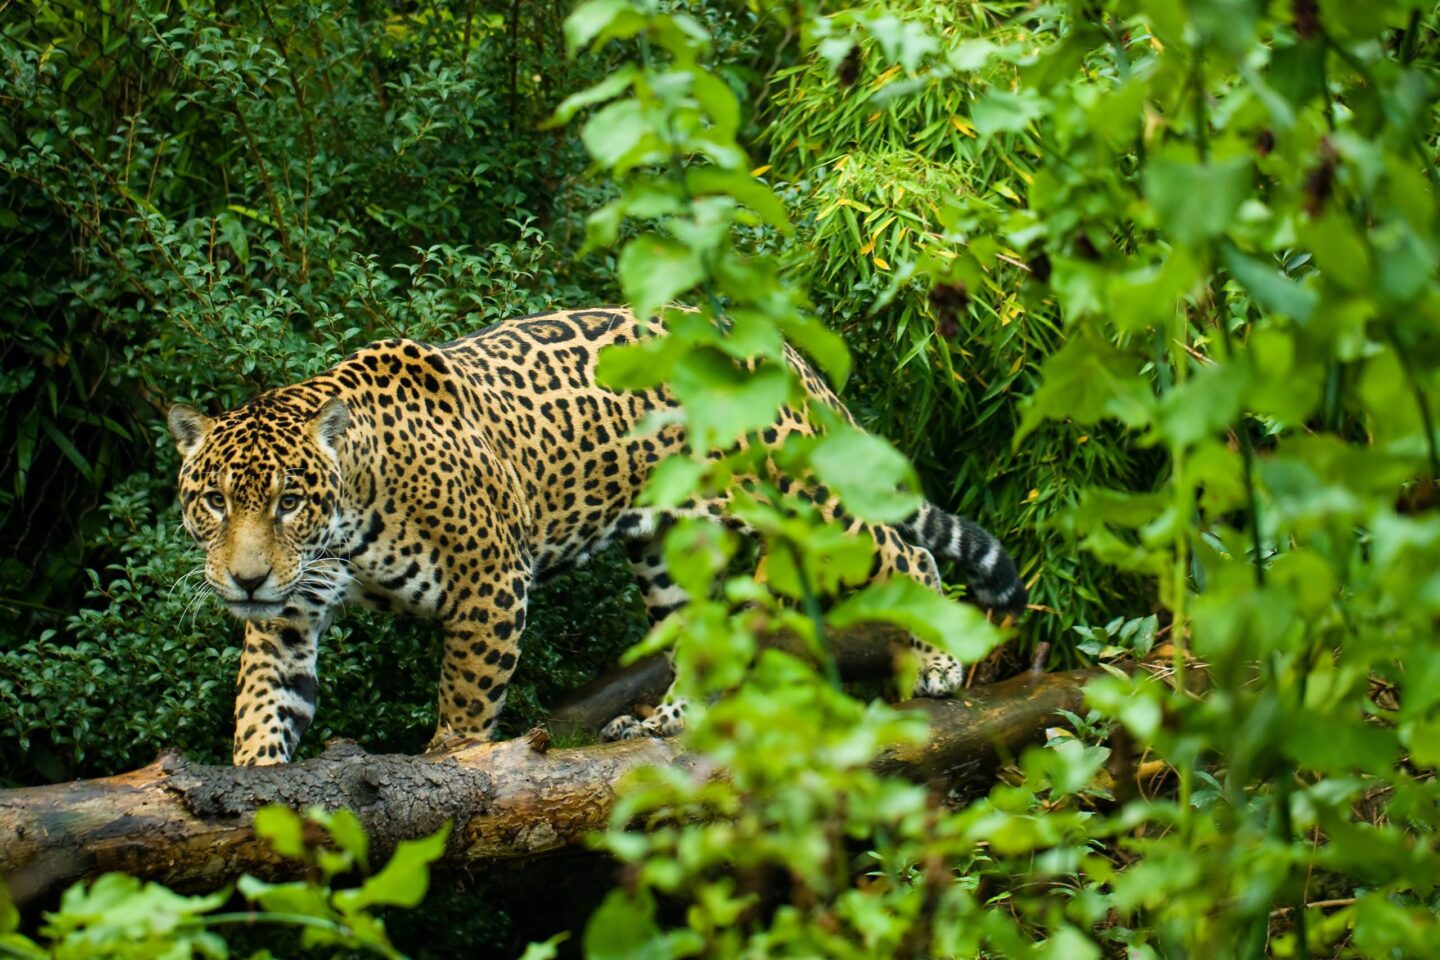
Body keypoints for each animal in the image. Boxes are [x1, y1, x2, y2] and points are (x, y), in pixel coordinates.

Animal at [168, 307, 1026, 765]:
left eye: (289, 501)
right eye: (214, 501)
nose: (245, 579)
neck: (348, 520)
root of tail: (778, 348)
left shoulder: (490, 584)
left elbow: (465, 699)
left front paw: (452, 765)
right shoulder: (286, 617)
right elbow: (264, 705)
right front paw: (253, 788)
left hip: (808, 498)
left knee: (906, 550)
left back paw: (939, 660)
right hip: (669, 547)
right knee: (698, 633)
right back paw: (665, 720)